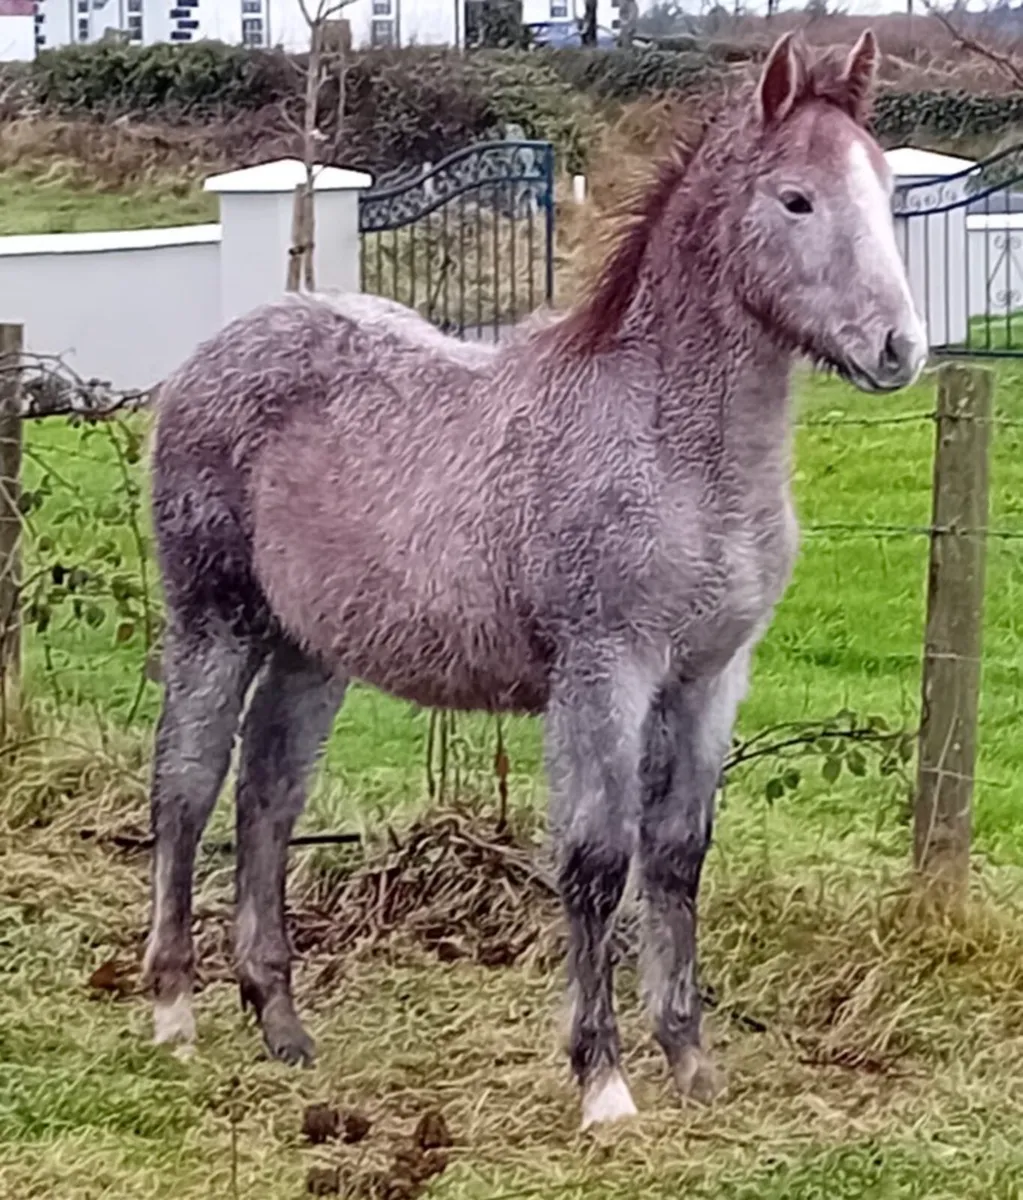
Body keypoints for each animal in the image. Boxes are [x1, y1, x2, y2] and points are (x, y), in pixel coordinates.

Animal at [142, 28, 927, 1130]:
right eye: (795, 199)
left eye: (887, 186)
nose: (898, 348)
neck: (668, 444)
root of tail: (216, 351)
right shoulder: (603, 672)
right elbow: (595, 863)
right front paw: (602, 1080)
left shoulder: (710, 677)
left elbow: (677, 856)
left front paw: (691, 1060)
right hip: (214, 620)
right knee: (187, 786)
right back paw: (172, 1008)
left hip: (310, 652)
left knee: (268, 799)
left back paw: (281, 1022)